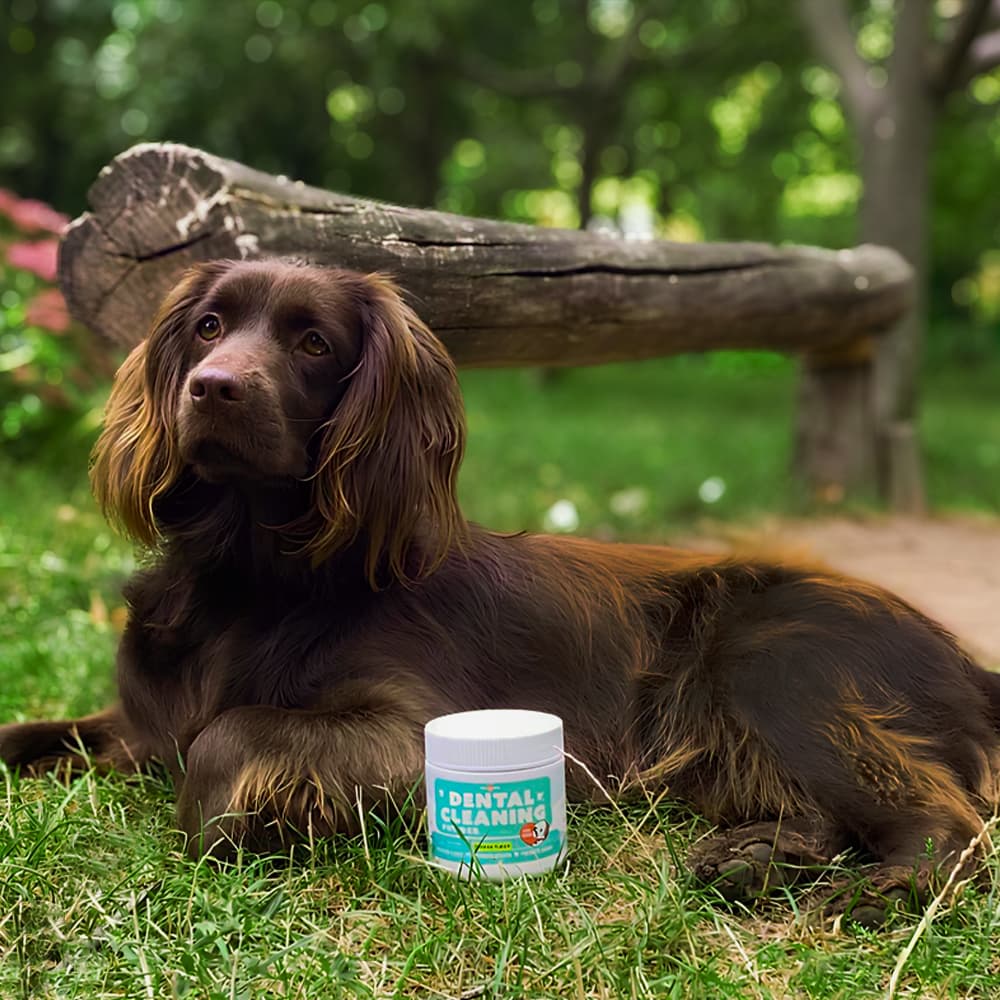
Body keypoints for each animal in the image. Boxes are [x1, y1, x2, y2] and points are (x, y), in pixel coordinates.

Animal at [2, 259, 997, 915]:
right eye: (208, 326)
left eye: (313, 342)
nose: (212, 388)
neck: (247, 582)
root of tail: (967, 659)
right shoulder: (136, 727)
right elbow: (37, 731)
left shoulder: (406, 727)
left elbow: (228, 735)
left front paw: (225, 829)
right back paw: (760, 857)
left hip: (771, 659)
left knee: (950, 825)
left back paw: (875, 888)